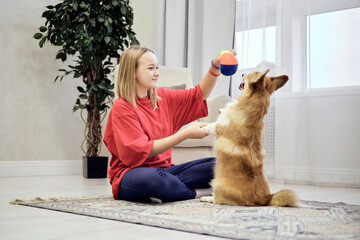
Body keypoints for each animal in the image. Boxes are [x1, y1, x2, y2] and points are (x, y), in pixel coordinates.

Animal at [201, 69, 300, 206]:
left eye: (249, 75)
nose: (242, 74)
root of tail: (266, 199)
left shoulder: (219, 128)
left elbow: (212, 125)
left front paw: (202, 127)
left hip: (218, 183)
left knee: (217, 199)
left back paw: (206, 198)